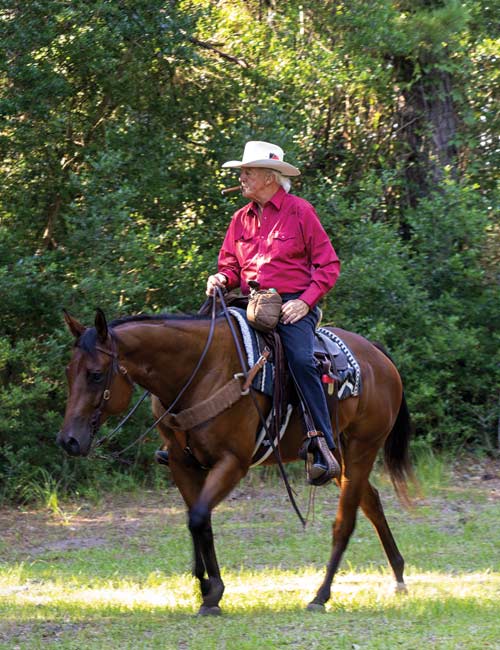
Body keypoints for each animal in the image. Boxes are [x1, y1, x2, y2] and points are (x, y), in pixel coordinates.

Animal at [58, 304, 414, 615]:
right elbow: (198, 520)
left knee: (346, 521)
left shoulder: (232, 462)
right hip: (338, 456)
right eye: (68, 372)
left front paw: (212, 591)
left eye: (95, 374)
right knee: (371, 502)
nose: (68, 440)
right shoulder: (182, 464)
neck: (200, 372)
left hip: (361, 450)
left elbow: (198, 517)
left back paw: (321, 595)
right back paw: (397, 575)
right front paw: (205, 587)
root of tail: (378, 356)